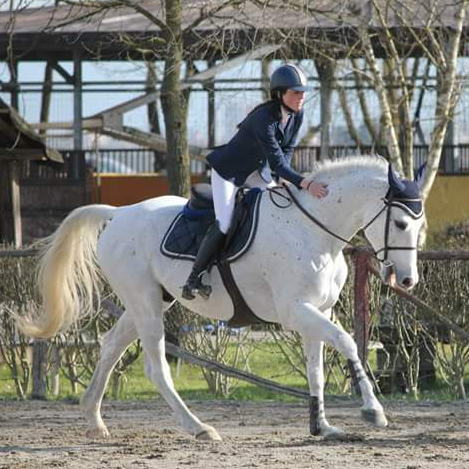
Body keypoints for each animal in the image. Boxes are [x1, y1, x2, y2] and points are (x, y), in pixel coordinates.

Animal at [20, 156, 424, 438]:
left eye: (419, 226)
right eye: (401, 223)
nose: (406, 280)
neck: (314, 229)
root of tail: (119, 213)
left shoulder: (316, 311)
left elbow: (317, 370)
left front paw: (321, 426)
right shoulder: (295, 311)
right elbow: (348, 343)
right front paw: (373, 411)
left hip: (148, 301)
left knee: (110, 346)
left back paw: (94, 418)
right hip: (145, 303)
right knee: (156, 367)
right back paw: (198, 427)